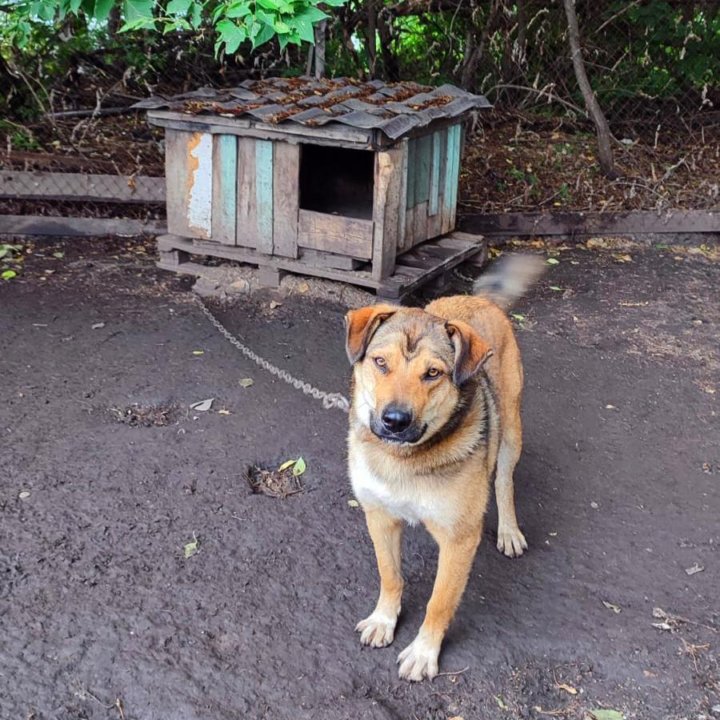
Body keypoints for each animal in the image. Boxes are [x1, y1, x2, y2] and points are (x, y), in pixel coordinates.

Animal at [346, 256, 544, 684]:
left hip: (511, 430)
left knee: (504, 481)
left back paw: (509, 530)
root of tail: (479, 300)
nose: (394, 421)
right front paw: (384, 619)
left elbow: (439, 602)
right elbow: (390, 575)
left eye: (433, 373)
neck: (404, 459)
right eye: (380, 362)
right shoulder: (379, 517)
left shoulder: (458, 541)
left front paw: (424, 652)